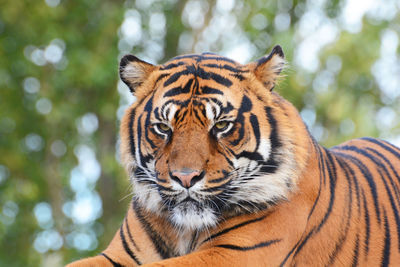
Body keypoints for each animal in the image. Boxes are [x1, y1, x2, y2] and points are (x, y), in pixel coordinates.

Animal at [67, 45, 400, 266]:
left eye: (221, 125)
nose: (185, 178)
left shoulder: (233, 254)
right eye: (163, 127)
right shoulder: (118, 255)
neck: (186, 230)